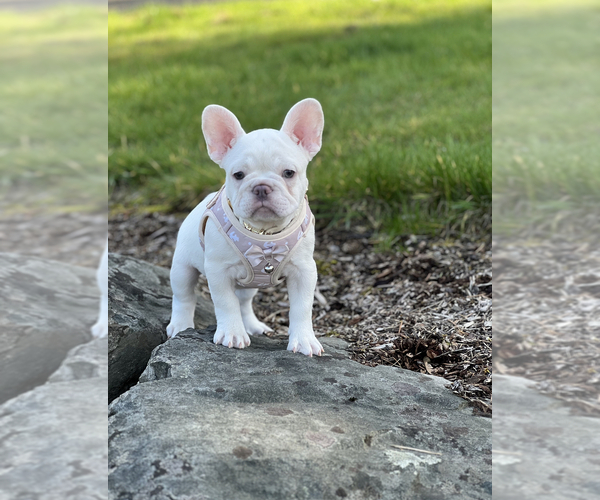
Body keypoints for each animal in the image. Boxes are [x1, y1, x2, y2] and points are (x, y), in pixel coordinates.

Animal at [166, 97, 326, 356]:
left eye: (289, 173)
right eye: (238, 175)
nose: (261, 187)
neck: (264, 233)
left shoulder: (304, 271)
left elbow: (301, 307)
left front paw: (303, 339)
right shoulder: (218, 271)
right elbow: (225, 303)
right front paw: (232, 333)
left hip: (249, 284)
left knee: (244, 301)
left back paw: (253, 326)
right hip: (182, 268)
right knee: (184, 296)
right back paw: (180, 325)